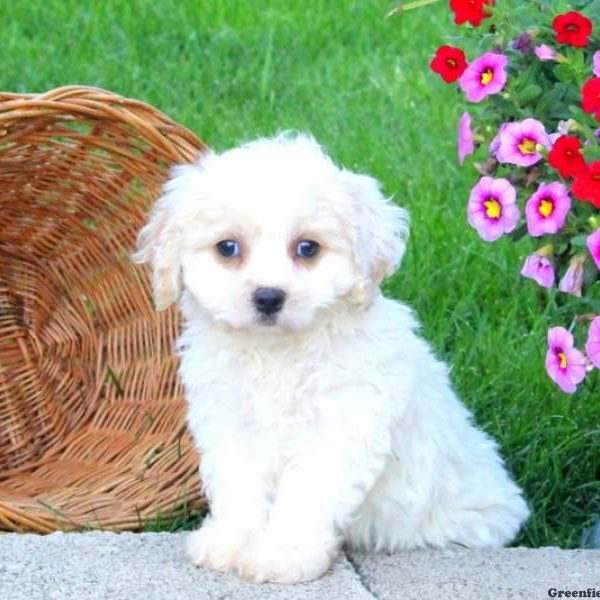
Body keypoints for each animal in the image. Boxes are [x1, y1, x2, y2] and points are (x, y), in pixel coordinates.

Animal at [132, 132, 528, 584]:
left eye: (307, 248)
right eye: (227, 248)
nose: (268, 297)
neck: (277, 353)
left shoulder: (339, 428)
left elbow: (306, 495)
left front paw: (283, 555)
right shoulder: (229, 423)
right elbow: (239, 486)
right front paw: (230, 542)